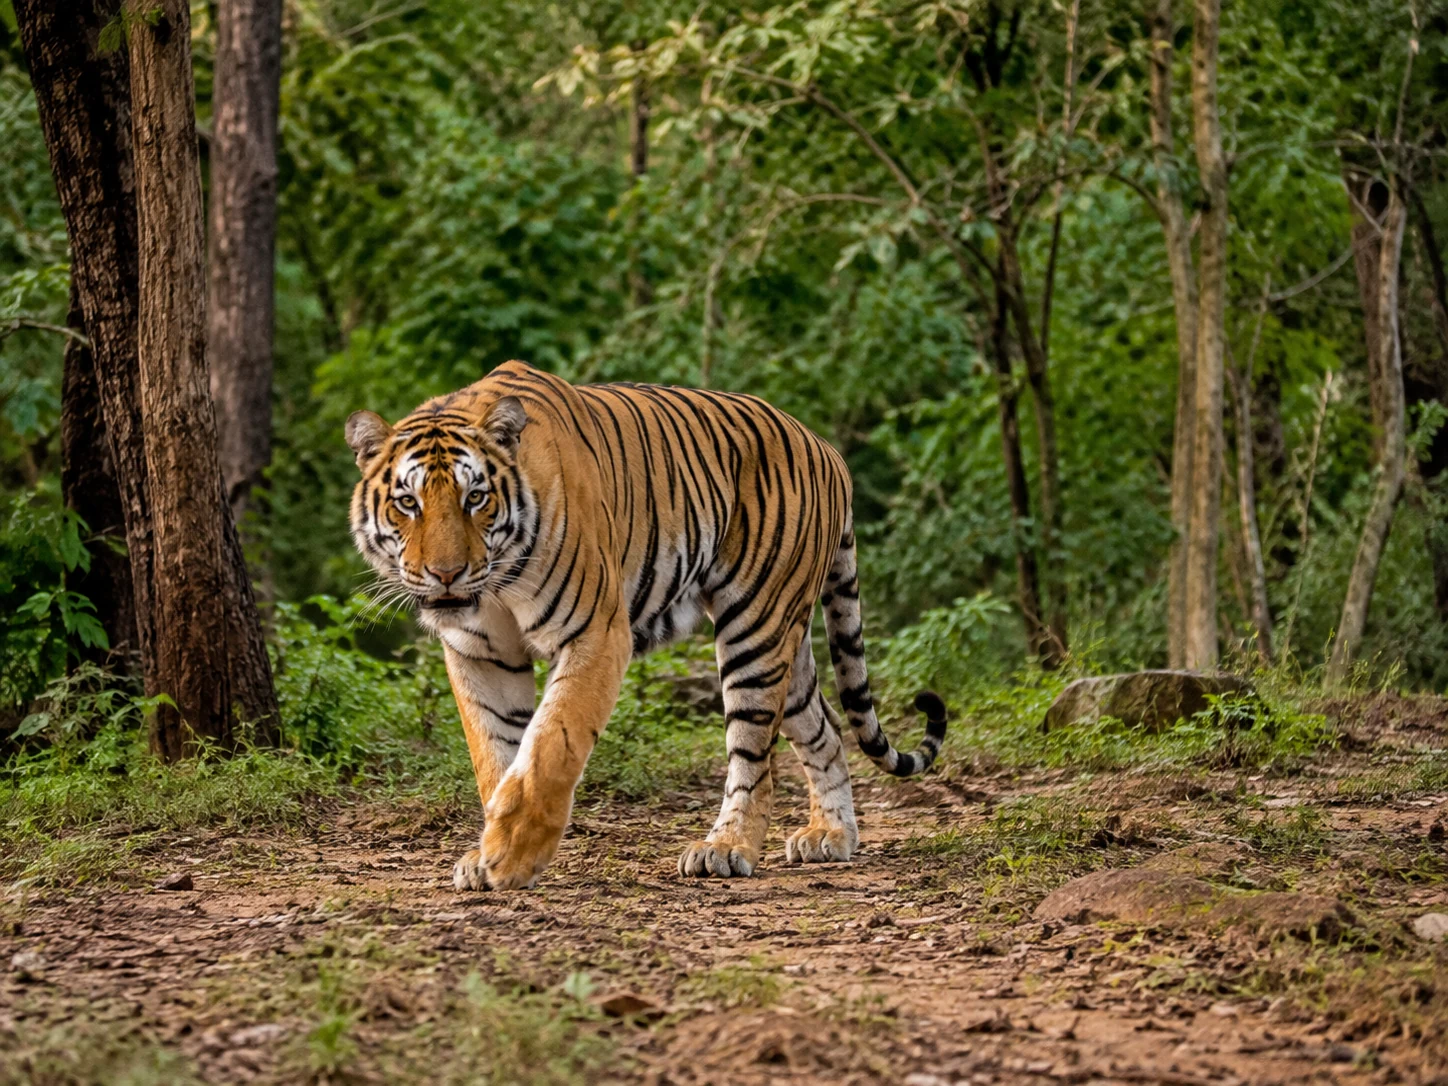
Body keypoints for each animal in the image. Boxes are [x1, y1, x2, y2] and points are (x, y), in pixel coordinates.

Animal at [346, 360, 947, 890]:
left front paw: (513, 852)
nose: (446, 575)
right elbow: (495, 753)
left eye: (476, 498)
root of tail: (826, 448)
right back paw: (831, 834)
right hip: (787, 640)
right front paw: (487, 851)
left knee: (754, 753)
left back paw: (726, 848)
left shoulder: (595, 632)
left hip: (756, 626)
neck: (497, 583)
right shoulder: (479, 652)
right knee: (824, 726)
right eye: (408, 502)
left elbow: (552, 743)